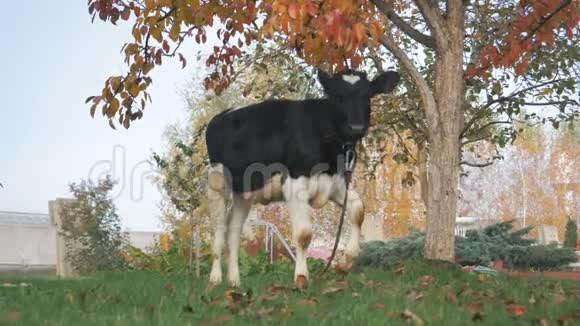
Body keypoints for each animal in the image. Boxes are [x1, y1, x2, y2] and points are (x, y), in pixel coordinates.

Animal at [206, 69, 402, 288]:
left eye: (367, 95)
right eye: (338, 97)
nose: (357, 127)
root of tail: (221, 116)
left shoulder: (337, 183)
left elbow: (358, 211)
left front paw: (345, 262)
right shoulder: (295, 184)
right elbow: (303, 234)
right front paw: (301, 277)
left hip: (243, 194)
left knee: (233, 230)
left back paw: (234, 280)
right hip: (217, 183)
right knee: (218, 230)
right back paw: (215, 279)